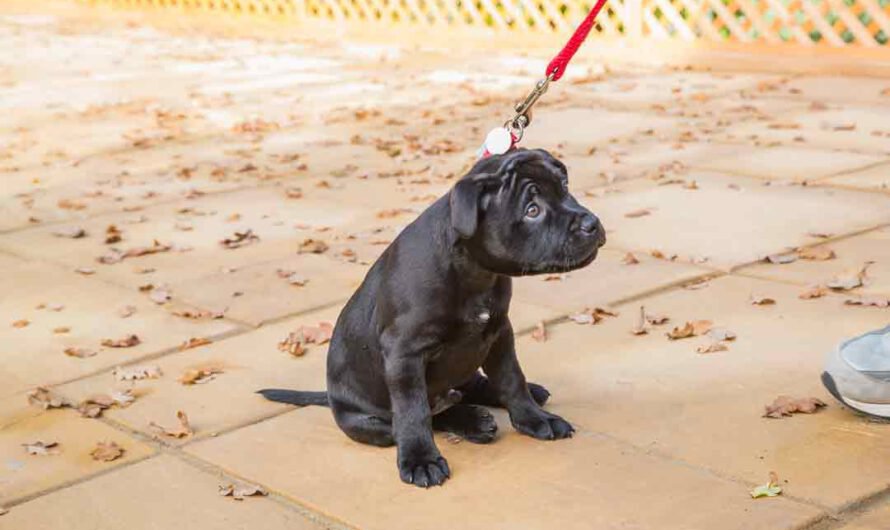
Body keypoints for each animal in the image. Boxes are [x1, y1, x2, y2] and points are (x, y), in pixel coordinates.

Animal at [256, 147, 604, 486]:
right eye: (532, 210)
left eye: (565, 187)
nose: (592, 223)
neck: (473, 272)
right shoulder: (404, 354)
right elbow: (413, 411)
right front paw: (420, 460)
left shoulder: (498, 332)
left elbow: (511, 379)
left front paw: (534, 418)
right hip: (363, 420)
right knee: (414, 419)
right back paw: (471, 421)